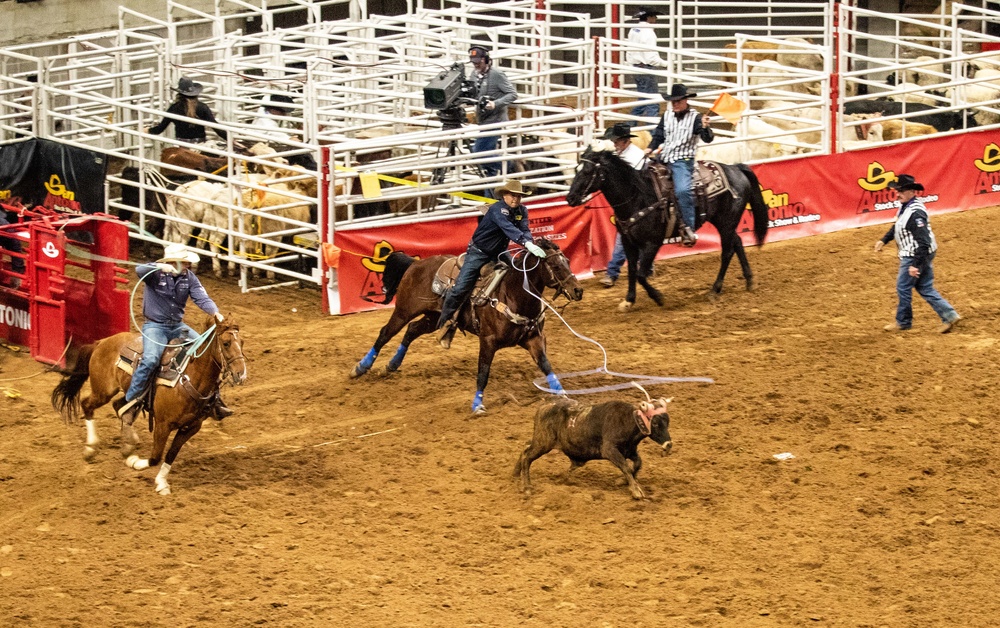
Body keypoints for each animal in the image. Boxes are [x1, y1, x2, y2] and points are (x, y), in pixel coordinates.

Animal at [51, 314, 247, 496]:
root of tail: (101, 342)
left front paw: (161, 482)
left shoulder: (191, 428)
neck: (188, 378)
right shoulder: (163, 424)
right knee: (88, 405)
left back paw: (129, 441)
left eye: (242, 342)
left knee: (119, 407)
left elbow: (170, 454)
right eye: (226, 343)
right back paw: (91, 447)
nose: (241, 374)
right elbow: (155, 456)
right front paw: (135, 463)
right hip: (103, 391)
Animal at [352, 238, 584, 414]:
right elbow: (483, 373)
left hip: (434, 317)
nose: (578, 290)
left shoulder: (534, 339)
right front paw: (477, 405)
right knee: (386, 333)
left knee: (411, 331)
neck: (512, 293)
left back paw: (392, 364)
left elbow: (546, 366)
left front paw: (564, 394)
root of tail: (414, 264)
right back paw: (360, 368)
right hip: (404, 310)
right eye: (555, 266)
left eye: (568, 261)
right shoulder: (487, 341)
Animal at [516, 398, 672, 500]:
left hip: (539, 440)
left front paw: (622, 481)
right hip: (543, 442)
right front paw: (636, 490)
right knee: (527, 457)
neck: (627, 421)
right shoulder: (609, 450)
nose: (669, 444)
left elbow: (637, 464)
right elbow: (625, 467)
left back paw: (516, 474)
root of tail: (543, 406)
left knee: (525, 447)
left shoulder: (630, 450)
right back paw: (527, 487)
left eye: (667, 422)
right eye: (655, 423)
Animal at [568, 143, 768, 310]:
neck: (638, 196)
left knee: (727, 252)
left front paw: (658, 297)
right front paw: (629, 300)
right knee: (738, 242)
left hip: (726, 222)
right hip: (723, 222)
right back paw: (749, 281)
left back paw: (714, 290)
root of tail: (735, 168)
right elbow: (632, 270)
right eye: (576, 169)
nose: (570, 198)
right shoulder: (627, 242)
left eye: (587, 171)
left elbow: (641, 274)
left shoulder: (652, 243)